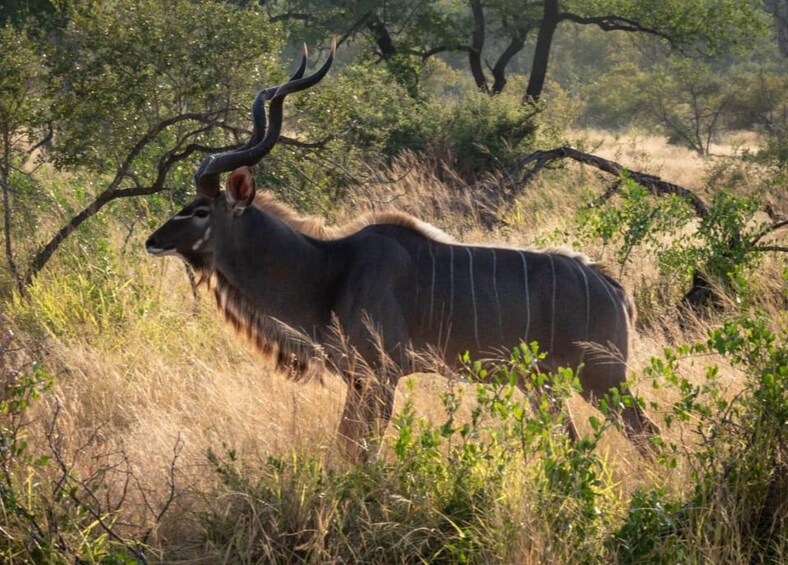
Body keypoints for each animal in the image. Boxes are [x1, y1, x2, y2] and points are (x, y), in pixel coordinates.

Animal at [146, 43, 658, 461]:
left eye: (200, 210)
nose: (153, 241)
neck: (329, 270)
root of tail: (612, 287)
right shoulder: (359, 377)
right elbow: (349, 446)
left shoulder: (380, 374)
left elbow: (358, 449)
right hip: (542, 383)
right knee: (572, 441)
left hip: (602, 378)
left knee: (646, 435)